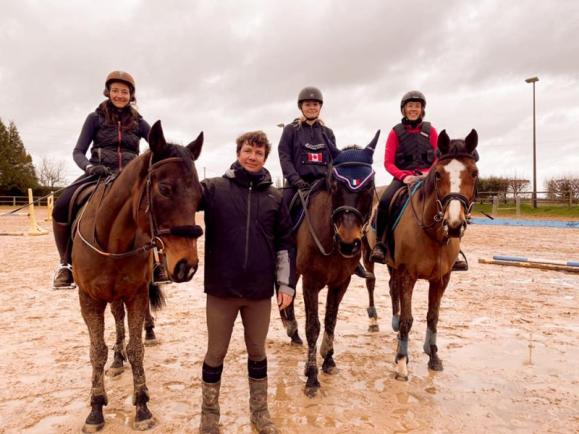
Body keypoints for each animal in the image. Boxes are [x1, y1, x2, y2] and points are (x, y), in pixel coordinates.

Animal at [72, 121, 204, 430]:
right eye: (165, 189)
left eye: (199, 196)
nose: (188, 266)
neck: (112, 242)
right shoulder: (89, 300)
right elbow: (97, 351)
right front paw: (96, 408)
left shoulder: (135, 294)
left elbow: (136, 349)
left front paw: (142, 405)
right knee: (116, 322)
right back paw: (116, 361)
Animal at [280, 131, 380, 396]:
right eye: (335, 184)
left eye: (369, 185)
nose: (348, 243)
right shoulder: (311, 282)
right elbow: (313, 326)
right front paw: (312, 376)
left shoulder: (340, 282)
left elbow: (330, 320)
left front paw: (328, 359)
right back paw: (291, 328)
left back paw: (293, 333)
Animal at [362, 129, 480, 380]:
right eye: (438, 174)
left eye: (474, 173)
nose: (454, 224)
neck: (433, 235)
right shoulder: (409, 275)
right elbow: (408, 319)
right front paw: (401, 362)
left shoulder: (441, 279)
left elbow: (432, 317)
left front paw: (433, 355)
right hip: (368, 255)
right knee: (372, 283)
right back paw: (374, 319)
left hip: (393, 265)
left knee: (391, 287)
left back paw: (394, 322)